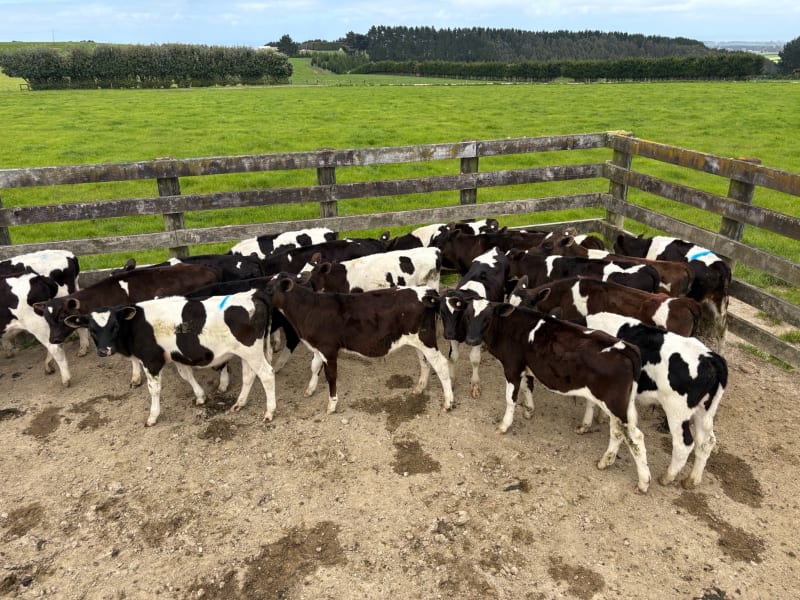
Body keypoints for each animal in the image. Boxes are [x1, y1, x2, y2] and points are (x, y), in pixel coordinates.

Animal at [64, 289, 277, 427]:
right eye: (92, 329)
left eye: (115, 326)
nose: (104, 350)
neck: (136, 325)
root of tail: (252, 294)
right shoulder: (176, 356)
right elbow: (186, 375)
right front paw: (200, 397)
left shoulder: (151, 361)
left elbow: (154, 389)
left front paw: (152, 417)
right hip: (246, 353)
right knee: (249, 376)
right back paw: (239, 404)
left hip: (252, 351)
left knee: (267, 375)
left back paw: (269, 412)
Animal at [266, 275, 454, 415]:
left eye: (269, 289)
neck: (307, 309)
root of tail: (427, 291)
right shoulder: (318, 347)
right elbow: (314, 367)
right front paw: (310, 390)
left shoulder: (328, 349)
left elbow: (331, 376)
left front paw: (331, 405)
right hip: (418, 342)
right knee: (424, 362)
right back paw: (420, 388)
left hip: (426, 339)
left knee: (441, 365)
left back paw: (448, 402)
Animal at [438, 247, 509, 398]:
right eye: (442, 312)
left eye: (459, 313)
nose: (448, 334)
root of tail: (494, 249)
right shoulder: (454, 336)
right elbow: (453, 357)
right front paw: (452, 381)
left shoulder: (475, 336)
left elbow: (475, 359)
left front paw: (475, 385)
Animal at [445, 295, 651, 493]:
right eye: (468, 316)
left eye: (487, 318)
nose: (471, 340)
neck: (510, 327)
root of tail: (627, 348)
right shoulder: (527, 366)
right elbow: (528, 387)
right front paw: (529, 410)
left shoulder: (512, 367)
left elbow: (510, 399)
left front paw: (504, 425)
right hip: (619, 403)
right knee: (617, 431)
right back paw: (604, 461)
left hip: (614, 402)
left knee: (635, 437)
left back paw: (643, 483)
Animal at [580, 312, 727, 489]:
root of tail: (711, 357)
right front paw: (594, 421)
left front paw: (586, 424)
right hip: (704, 411)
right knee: (707, 442)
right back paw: (692, 480)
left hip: (676, 411)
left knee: (683, 444)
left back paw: (667, 477)